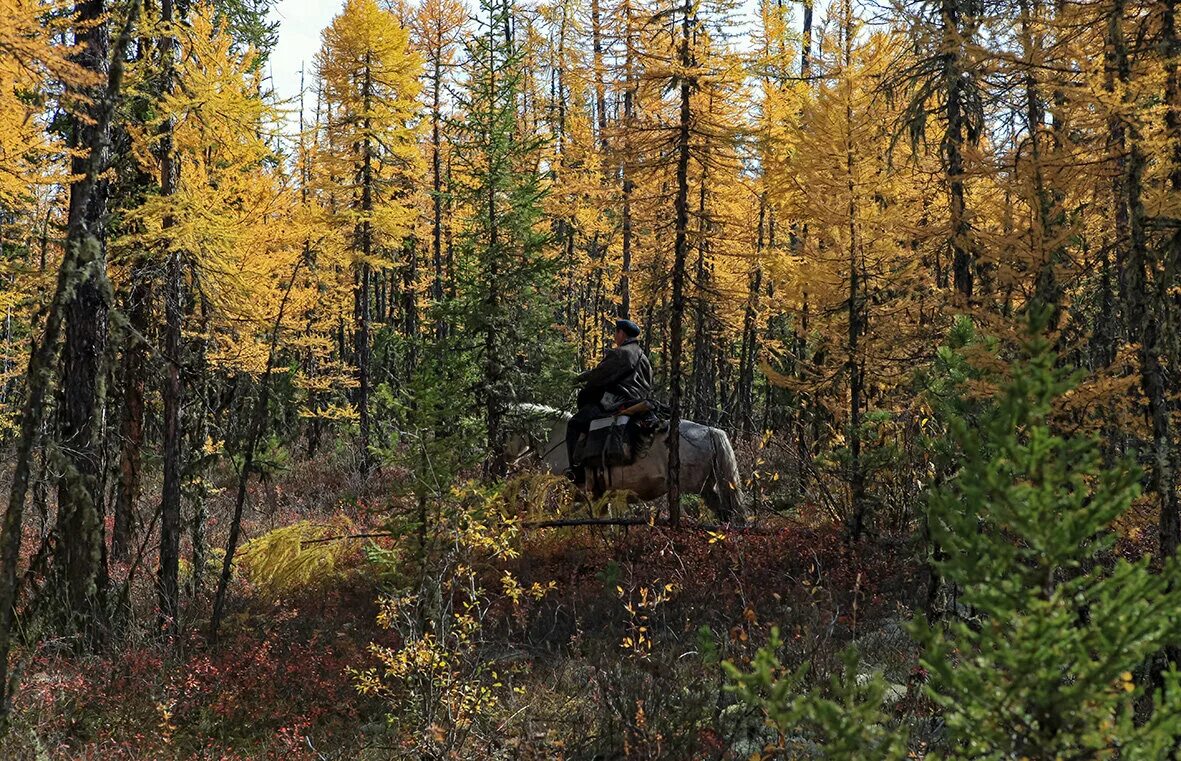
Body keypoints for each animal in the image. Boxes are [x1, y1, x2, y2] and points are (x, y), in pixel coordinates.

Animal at [505, 404, 741, 522]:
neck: (557, 438)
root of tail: (711, 432)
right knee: (726, 514)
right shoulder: (599, 495)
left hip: (690, 489)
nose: (507, 465)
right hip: (708, 489)